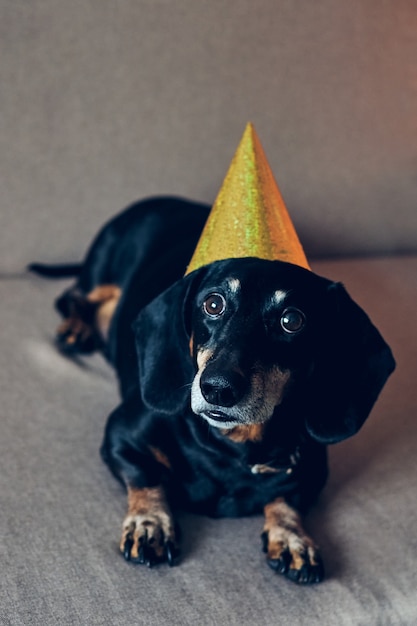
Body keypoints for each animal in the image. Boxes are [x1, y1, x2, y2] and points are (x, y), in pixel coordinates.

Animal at [30, 194, 394, 580]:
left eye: (292, 320)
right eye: (213, 303)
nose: (217, 388)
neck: (233, 447)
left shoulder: (313, 469)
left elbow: (287, 499)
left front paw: (292, 536)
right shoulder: (120, 434)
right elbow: (146, 474)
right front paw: (150, 522)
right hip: (101, 271)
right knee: (72, 298)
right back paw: (77, 328)